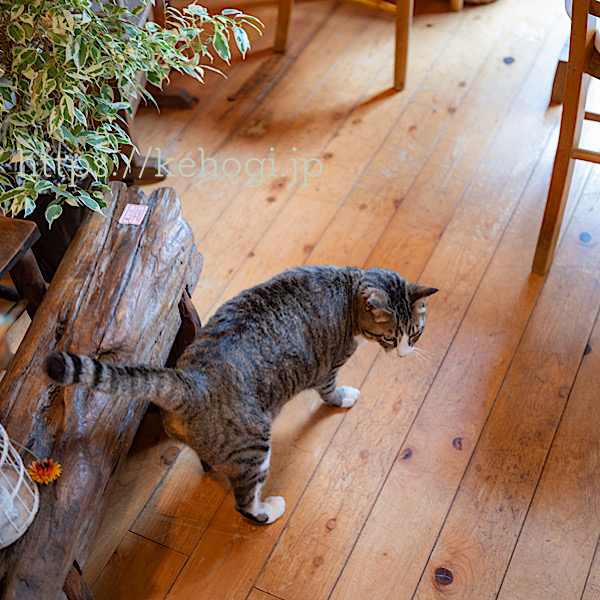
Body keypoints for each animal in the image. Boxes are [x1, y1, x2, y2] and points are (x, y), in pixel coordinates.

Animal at [43, 268, 436, 524]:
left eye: (415, 333)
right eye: (391, 337)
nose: (405, 353)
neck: (347, 285)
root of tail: (190, 380)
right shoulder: (328, 368)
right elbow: (330, 391)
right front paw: (344, 397)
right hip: (253, 448)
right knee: (245, 504)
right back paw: (269, 510)